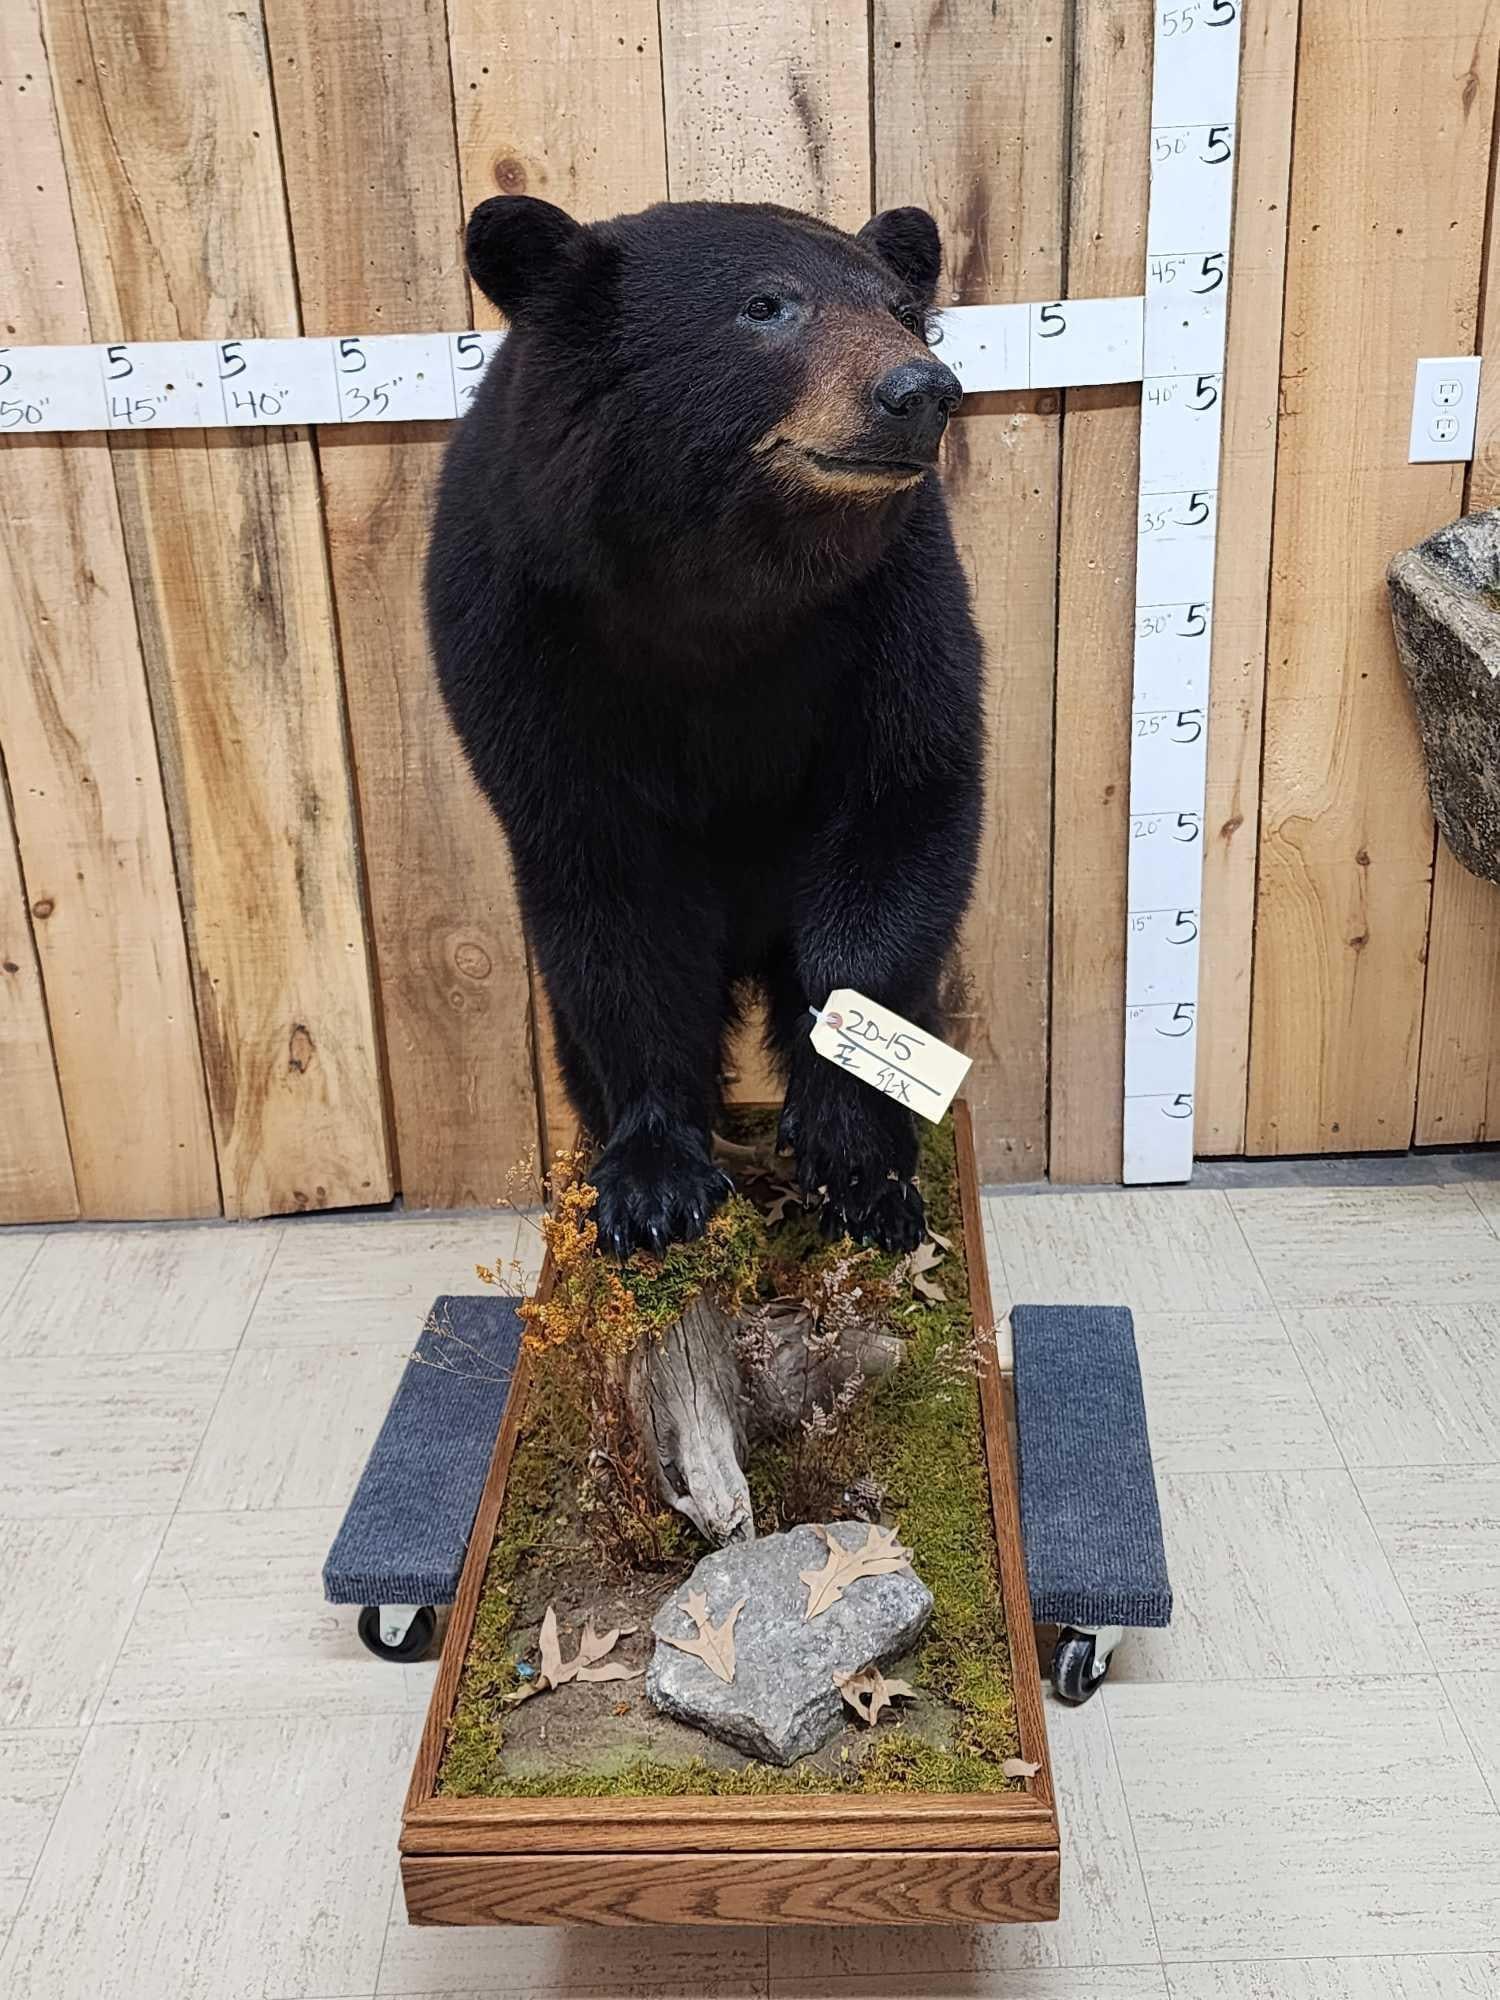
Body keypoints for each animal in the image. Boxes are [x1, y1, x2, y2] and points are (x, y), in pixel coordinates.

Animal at [428, 194, 984, 1259]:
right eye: (766, 306)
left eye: (904, 311)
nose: (921, 391)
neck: (717, 587)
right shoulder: (520, 625)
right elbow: (608, 890)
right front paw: (652, 1182)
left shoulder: (893, 601)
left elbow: (902, 804)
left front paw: (855, 1156)